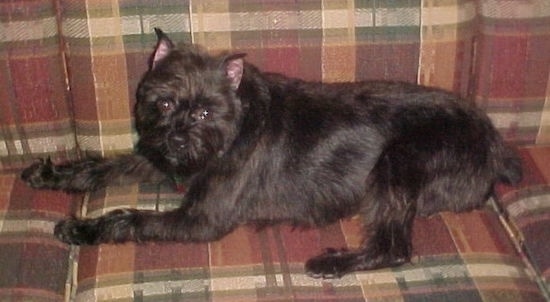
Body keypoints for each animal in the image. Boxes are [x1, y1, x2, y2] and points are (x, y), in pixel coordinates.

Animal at [20, 28, 520, 278]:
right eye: (162, 103)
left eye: (205, 111)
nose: (178, 141)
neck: (232, 129)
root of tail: (494, 144)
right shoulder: (155, 155)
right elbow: (103, 166)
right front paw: (55, 176)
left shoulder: (200, 219)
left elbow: (131, 217)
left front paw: (82, 228)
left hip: (397, 163)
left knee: (394, 247)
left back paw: (331, 262)